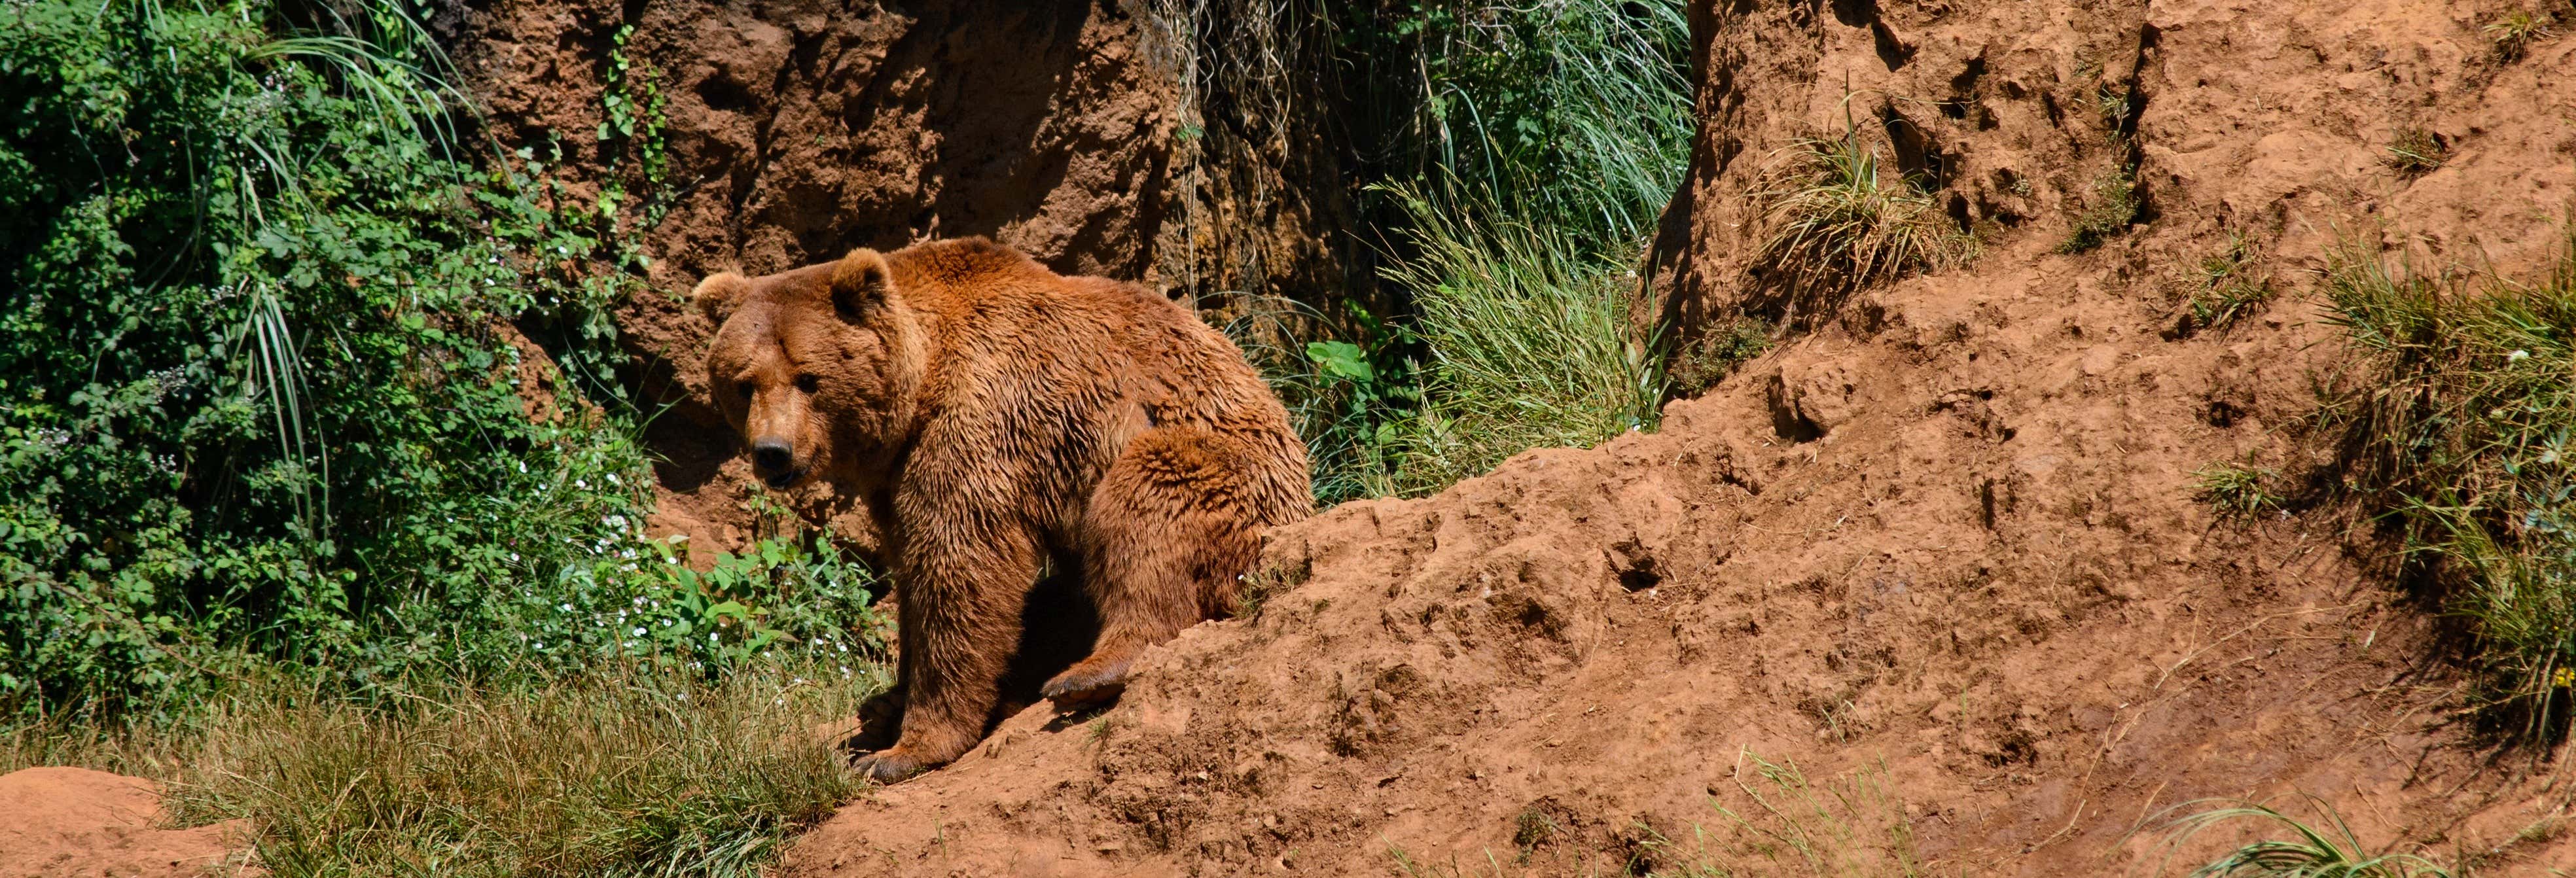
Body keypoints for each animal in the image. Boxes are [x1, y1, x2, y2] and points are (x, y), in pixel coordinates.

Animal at [690, 236, 1308, 777]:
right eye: (744, 382)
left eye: (809, 378)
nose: (773, 452)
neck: (920, 385)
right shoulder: (896, 477)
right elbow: (914, 573)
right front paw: (892, 701)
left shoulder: (983, 420)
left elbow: (961, 570)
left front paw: (902, 750)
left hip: (1221, 468)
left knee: (1147, 510)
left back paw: (1086, 673)